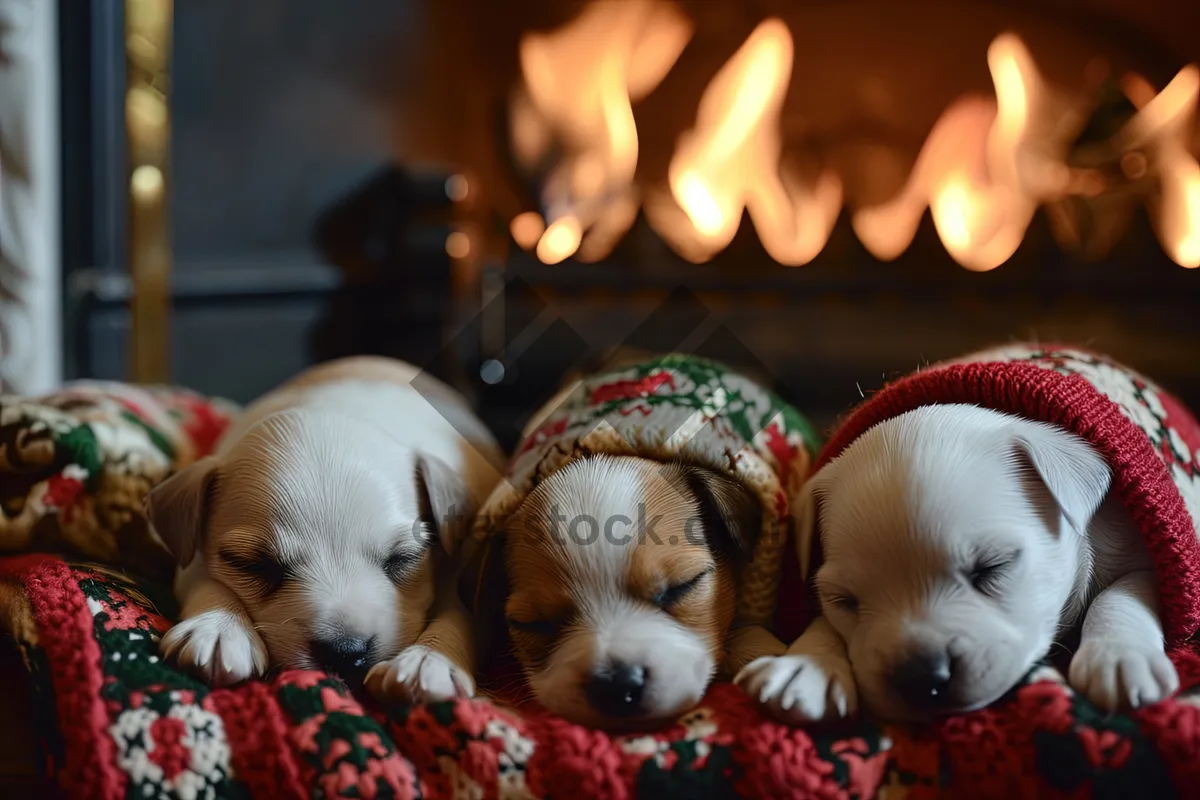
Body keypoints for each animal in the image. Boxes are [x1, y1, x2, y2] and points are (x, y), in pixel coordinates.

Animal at [147, 355, 504, 700]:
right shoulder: (191, 559)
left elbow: (458, 612)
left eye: (402, 558)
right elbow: (207, 581)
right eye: (252, 565)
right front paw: (218, 628)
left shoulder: (461, 573)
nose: (346, 652)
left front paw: (429, 660)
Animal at [734, 345, 1200, 724]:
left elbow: (1118, 596)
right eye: (844, 600)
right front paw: (806, 666)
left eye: (992, 569)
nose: (922, 676)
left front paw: (1119, 657)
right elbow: (820, 623)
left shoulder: (1146, 561)